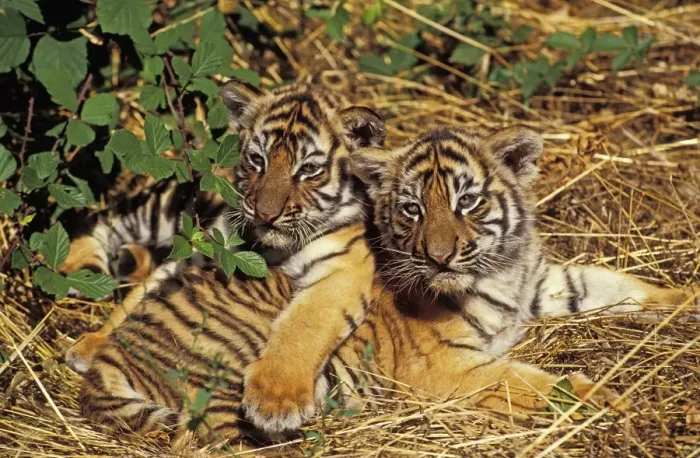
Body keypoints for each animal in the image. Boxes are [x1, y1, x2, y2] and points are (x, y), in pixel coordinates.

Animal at [77, 79, 387, 441]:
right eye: (257, 160)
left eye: (309, 169)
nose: (266, 215)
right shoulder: (208, 250)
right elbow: (144, 291)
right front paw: (94, 343)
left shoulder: (342, 271)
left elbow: (304, 324)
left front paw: (273, 401)